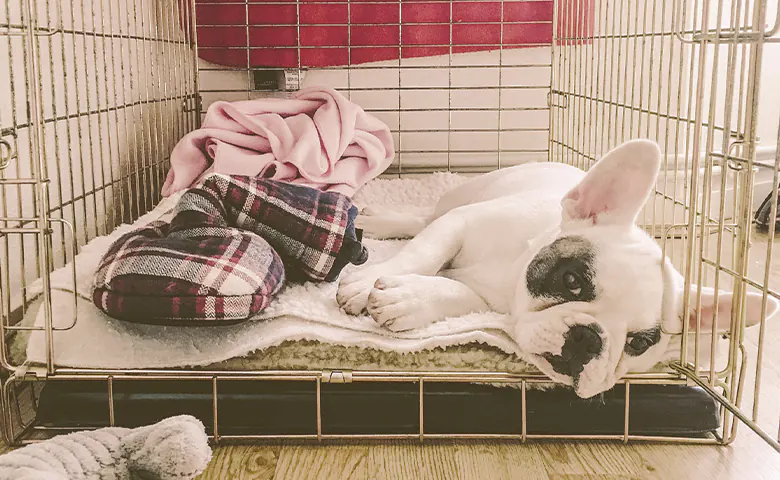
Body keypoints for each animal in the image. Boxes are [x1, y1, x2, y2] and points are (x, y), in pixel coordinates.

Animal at [336, 139, 780, 398]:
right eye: (571, 280)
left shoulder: (488, 300)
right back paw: (381, 221)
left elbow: (457, 294)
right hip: (460, 198)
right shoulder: (459, 223)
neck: (511, 274)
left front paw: (409, 299)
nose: (588, 339)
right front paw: (364, 284)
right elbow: (423, 252)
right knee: (423, 221)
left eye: (639, 343)